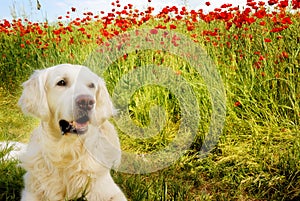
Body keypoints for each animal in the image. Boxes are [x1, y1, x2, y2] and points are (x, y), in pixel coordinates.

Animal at [17, 64, 126, 201]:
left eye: (91, 85)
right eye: (61, 82)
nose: (86, 102)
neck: (68, 149)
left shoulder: (110, 192)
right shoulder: (32, 190)